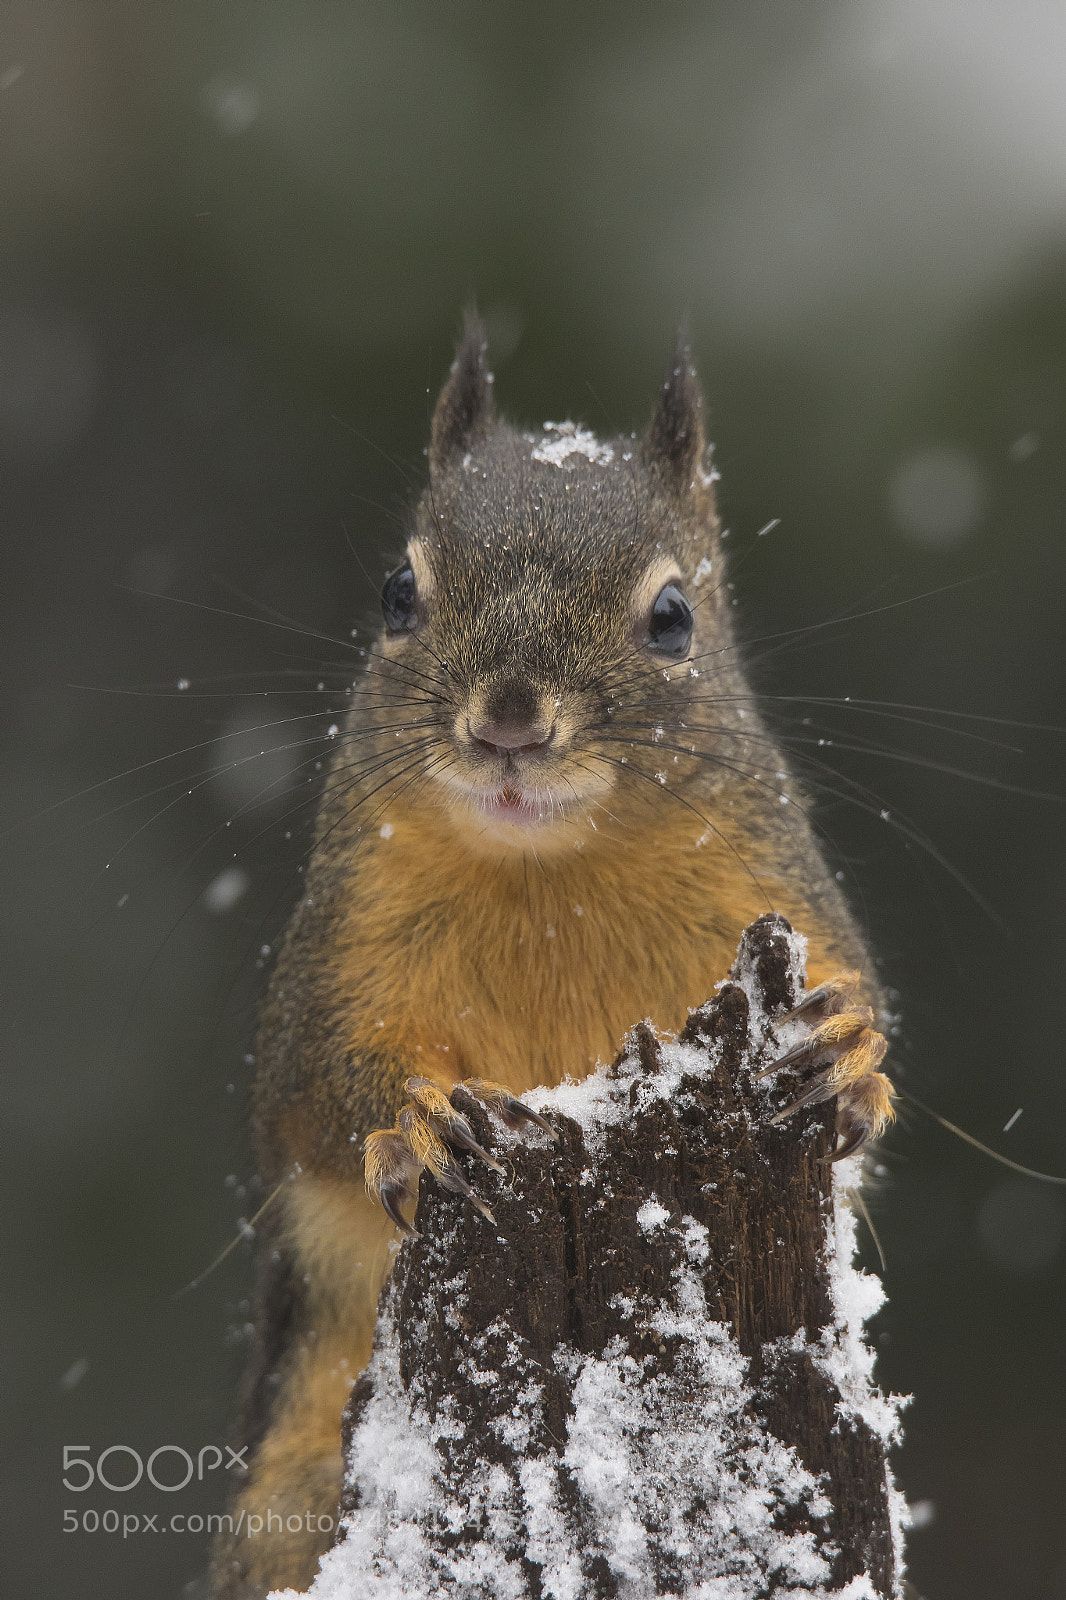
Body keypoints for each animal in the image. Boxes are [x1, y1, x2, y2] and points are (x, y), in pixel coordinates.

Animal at [210, 318, 895, 1598]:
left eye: (673, 617)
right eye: (397, 594)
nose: (509, 719)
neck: (549, 885)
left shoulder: (782, 896)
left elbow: (860, 1032)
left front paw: (843, 1059)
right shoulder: (330, 966)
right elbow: (315, 1090)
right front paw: (421, 1118)